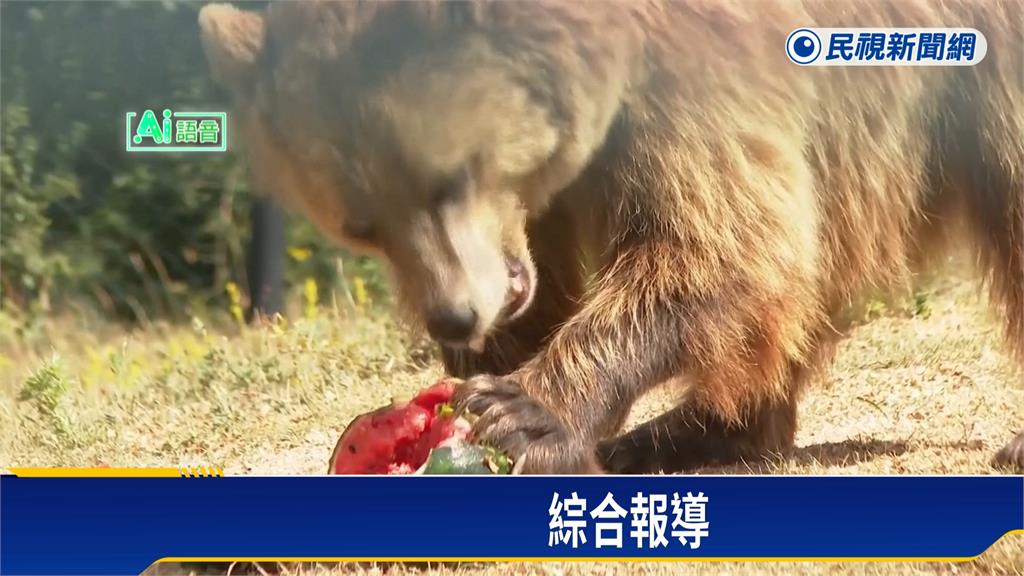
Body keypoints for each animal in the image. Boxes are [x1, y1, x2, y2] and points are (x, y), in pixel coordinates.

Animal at [198, 0, 1024, 474]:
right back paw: (688, 433)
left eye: (450, 179)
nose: (456, 319)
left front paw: (520, 413)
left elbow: (719, 244)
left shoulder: (693, 83)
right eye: (360, 222)